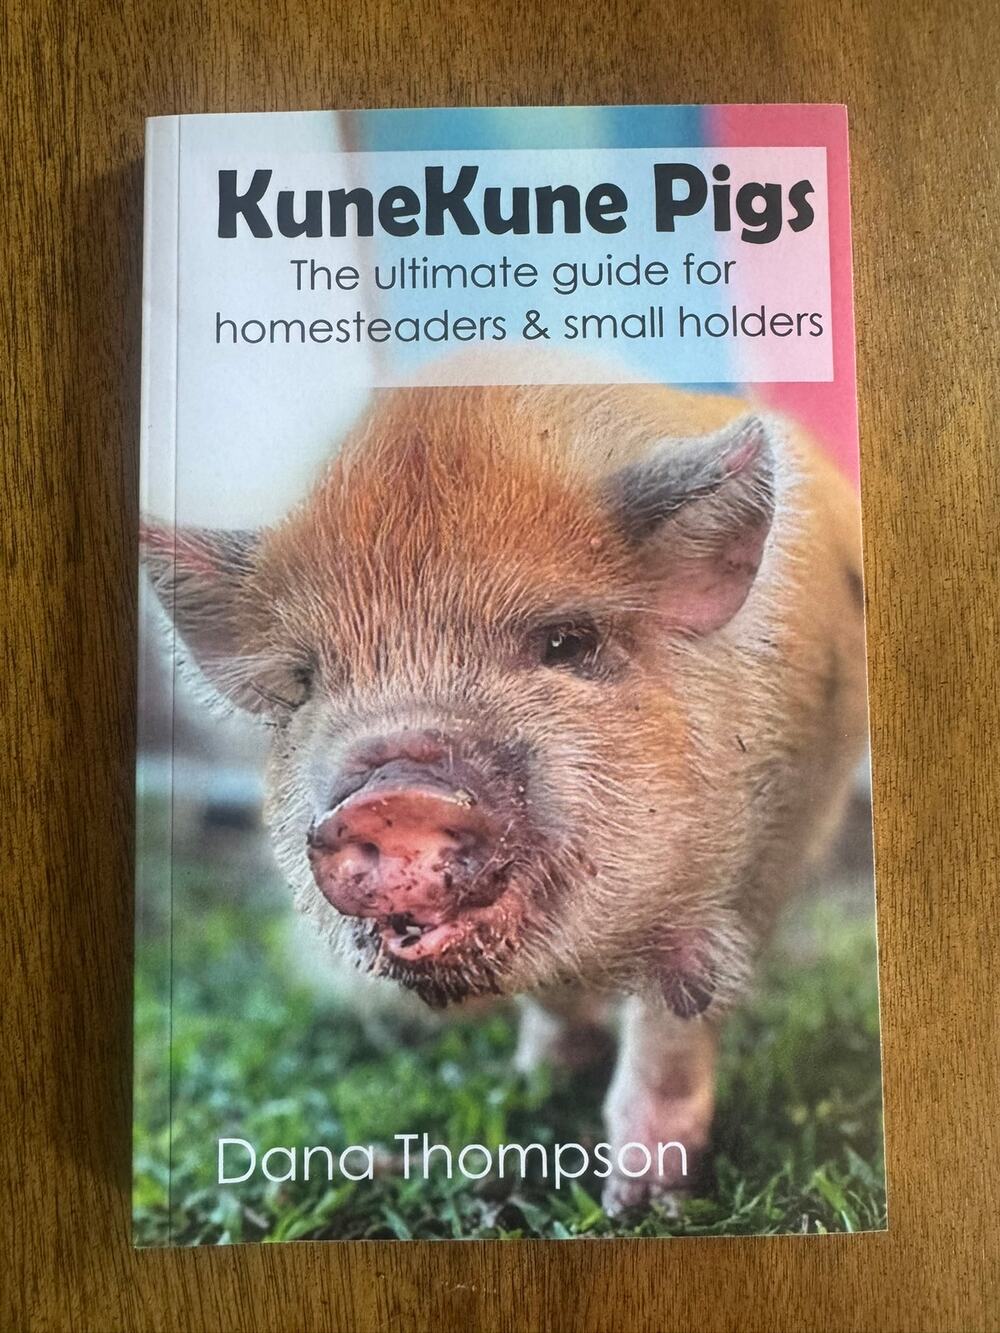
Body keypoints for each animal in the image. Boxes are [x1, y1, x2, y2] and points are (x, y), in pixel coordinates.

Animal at [141, 376, 868, 1213]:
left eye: (566, 642)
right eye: (306, 683)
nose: (393, 793)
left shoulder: (752, 866)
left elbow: (675, 1026)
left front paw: (642, 1203)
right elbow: (548, 999)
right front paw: (536, 1083)